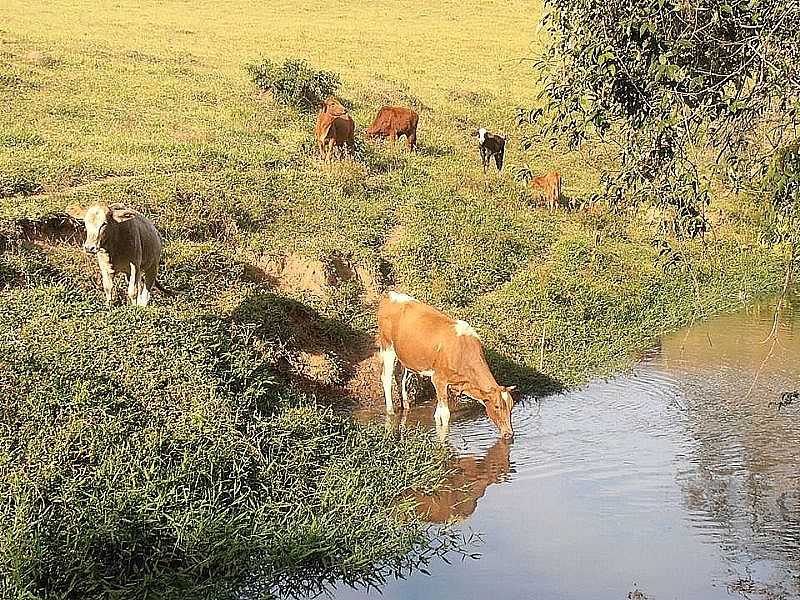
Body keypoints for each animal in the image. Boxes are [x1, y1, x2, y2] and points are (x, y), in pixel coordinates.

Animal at [376, 290, 516, 436]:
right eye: (497, 406)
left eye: (511, 406)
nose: (509, 433)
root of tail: (390, 294)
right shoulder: (438, 379)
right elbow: (445, 414)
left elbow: (438, 414)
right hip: (387, 346)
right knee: (386, 377)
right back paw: (391, 411)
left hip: (403, 355)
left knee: (400, 377)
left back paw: (406, 406)